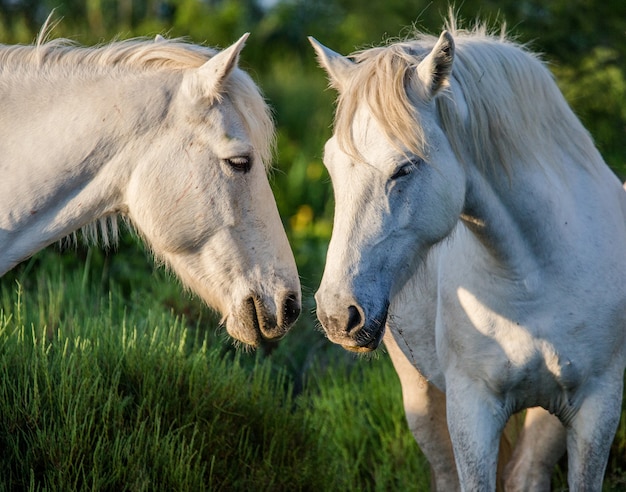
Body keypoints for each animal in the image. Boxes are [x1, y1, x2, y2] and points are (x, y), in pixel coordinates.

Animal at [310, 17, 624, 490]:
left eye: (405, 168)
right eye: (331, 164)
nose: (336, 315)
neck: (537, 276)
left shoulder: (597, 410)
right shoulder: (471, 410)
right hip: (422, 398)